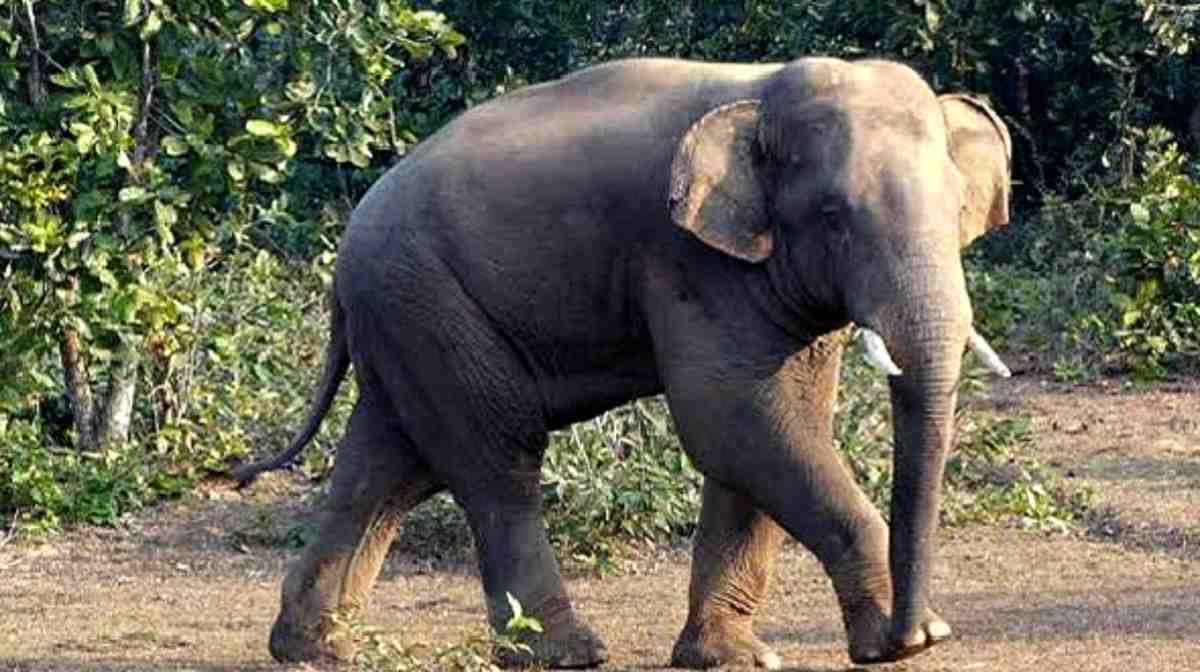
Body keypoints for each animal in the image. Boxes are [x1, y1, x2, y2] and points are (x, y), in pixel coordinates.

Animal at [232, 56, 1013, 669]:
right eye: (833, 218)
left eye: (958, 209)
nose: (916, 630)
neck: (761, 96)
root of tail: (345, 254)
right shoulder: (689, 259)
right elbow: (734, 421)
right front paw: (904, 643)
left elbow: (765, 430)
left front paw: (732, 659)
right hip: (428, 302)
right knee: (496, 457)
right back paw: (565, 652)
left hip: (406, 313)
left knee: (390, 465)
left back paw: (314, 647)